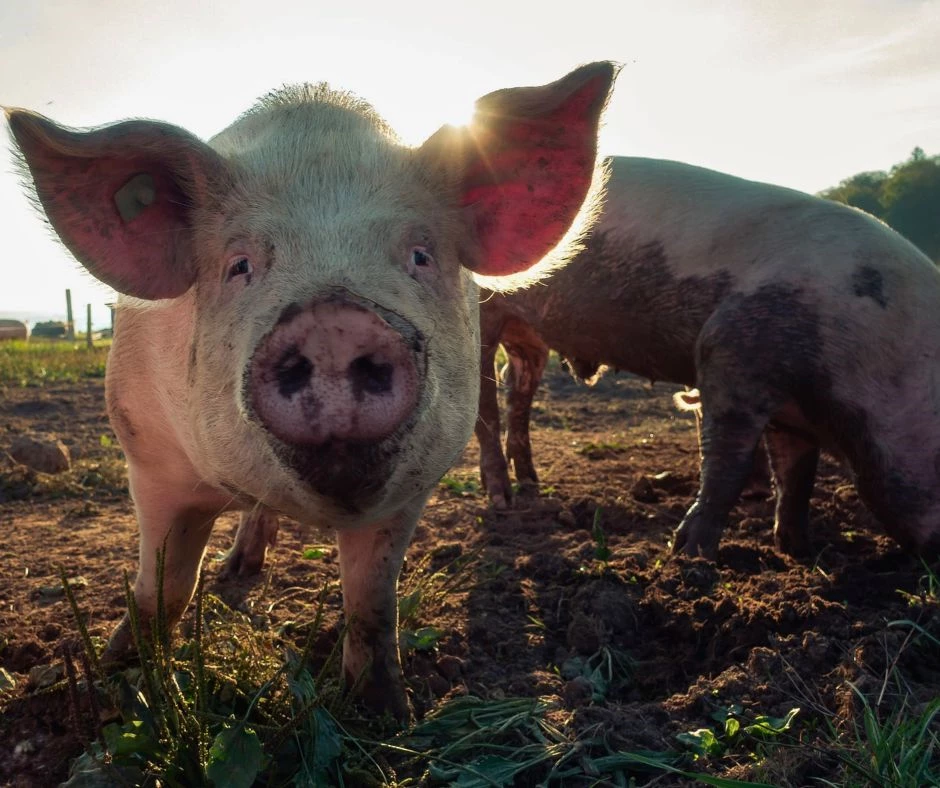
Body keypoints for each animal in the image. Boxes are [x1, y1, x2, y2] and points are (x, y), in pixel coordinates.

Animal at [9, 61, 624, 720]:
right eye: (240, 265)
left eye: (420, 255)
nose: (333, 320)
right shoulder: (149, 454)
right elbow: (164, 587)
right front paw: (122, 684)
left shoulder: (412, 487)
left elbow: (372, 602)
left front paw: (386, 714)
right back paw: (235, 573)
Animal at [474, 155, 940, 560]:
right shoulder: (729, 354)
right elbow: (726, 465)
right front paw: (689, 554)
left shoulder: (791, 408)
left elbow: (797, 475)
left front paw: (800, 551)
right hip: (483, 313)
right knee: (484, 402)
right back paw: (502, 501)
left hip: (529, 334)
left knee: (517, 385)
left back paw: (531, 484)